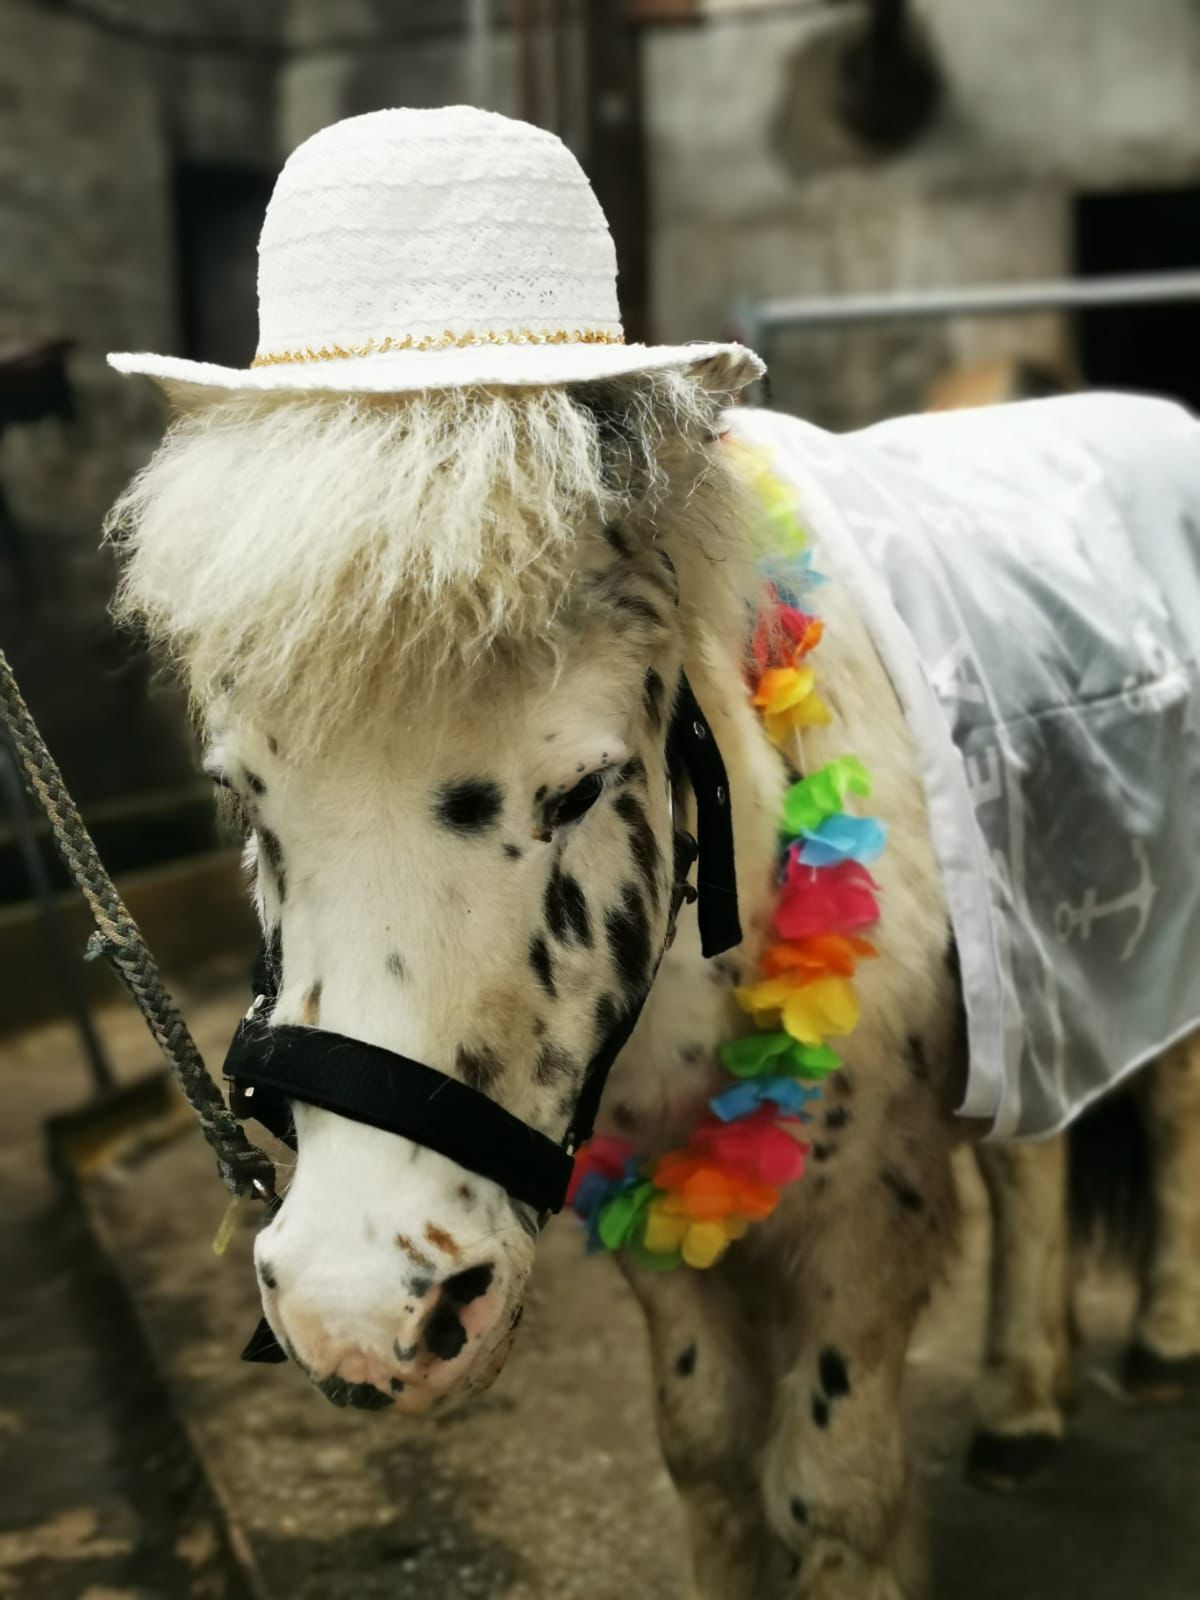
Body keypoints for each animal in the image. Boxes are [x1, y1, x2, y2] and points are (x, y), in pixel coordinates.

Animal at [105, 363, 1200, 1598]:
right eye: (244, 799)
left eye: (583, 786)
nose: (357, 1315)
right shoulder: (651, 1220)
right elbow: (707, 1451)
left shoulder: (865, 1219)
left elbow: (834, 1494)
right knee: (1035, 1156)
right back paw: (1023, 1400)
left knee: (1164, 1114)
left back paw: (1160, 1337)